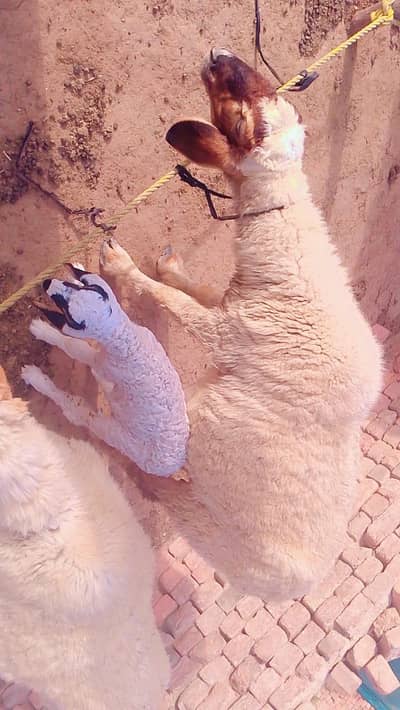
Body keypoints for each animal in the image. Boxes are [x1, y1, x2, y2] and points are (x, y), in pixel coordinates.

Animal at [22, 265, 189, 477]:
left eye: (68, 313)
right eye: (72, 288)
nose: (46, 283)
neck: (123, 336)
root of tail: (172, 463)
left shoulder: (99, 362)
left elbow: (72, 345)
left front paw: (42, 330)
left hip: (115, 434)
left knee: (78, 412)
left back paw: (34, 377)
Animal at [99, 48, 383, 601]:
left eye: (239, 123)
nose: (220, 56)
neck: (286, 257)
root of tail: (299, 588)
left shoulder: (232, 334)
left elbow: (172, 302)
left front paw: (122, 267)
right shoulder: (235, 304)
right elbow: (192, 289)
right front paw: (167, 264)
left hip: (205, 522)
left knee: (156, 486)